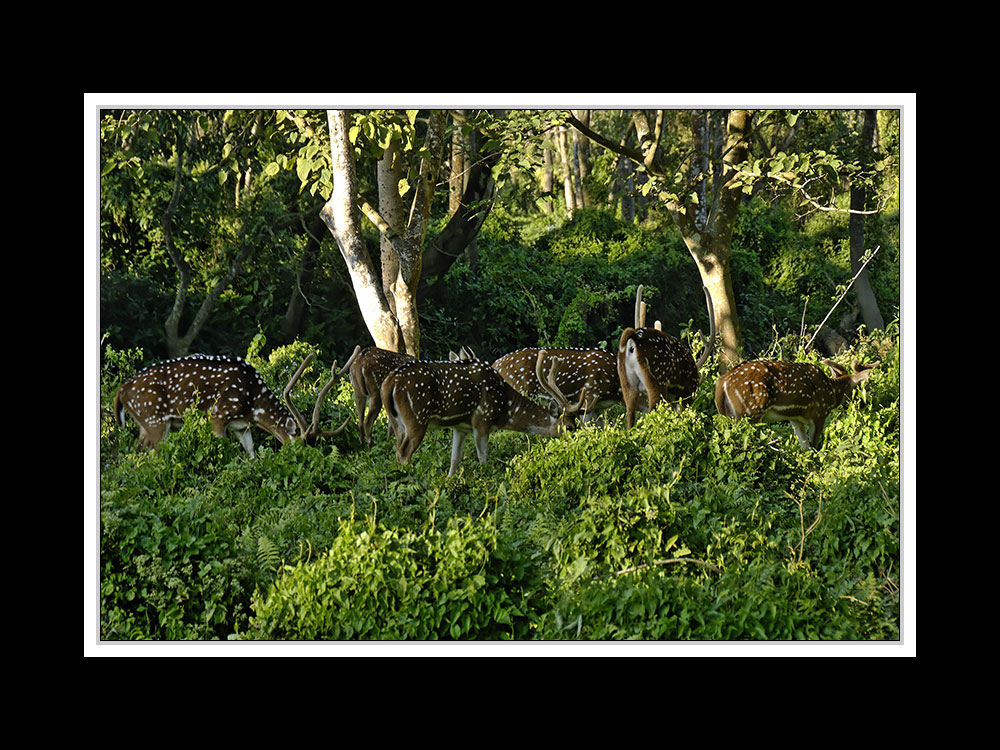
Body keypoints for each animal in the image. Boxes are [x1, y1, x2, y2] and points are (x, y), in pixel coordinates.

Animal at [110, 354, 348, 458]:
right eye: (298, 446)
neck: (252, 404)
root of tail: (121, 391)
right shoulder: (218, 415)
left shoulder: (242, 426)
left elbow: (251, 455)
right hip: (155, 419)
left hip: (144, 423)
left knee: (133, 455)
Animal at [382, 352, 584, 476]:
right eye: (569, 427)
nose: (578, 442)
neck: (504, 408)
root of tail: (389, 383)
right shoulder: (482, 419)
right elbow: (483, 458)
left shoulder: (460, 426)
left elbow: (454, 459)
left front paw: (449, 482)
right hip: (416, 419)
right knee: (403, 453)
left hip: (397, 423)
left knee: (397, 449)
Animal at [612, 286, 716, 428]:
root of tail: (634, 340)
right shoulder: (684, 393)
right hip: (657, 379)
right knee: (651, 414)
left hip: (627, 384)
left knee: (629, 418)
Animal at [712, 360, 884, 450]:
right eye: (860, 388)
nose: (864, 404)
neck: (832, 393)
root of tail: (721, 383)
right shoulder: (819, 413)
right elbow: (814, 444)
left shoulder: (795, 418)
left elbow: (805, 446)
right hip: (749, 411)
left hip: (729, 414)